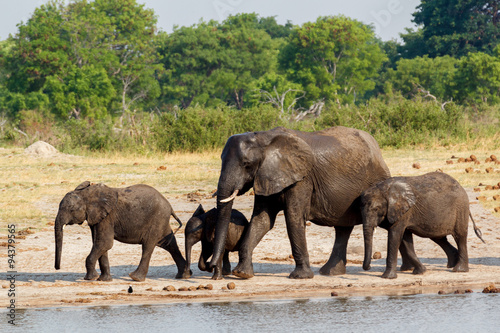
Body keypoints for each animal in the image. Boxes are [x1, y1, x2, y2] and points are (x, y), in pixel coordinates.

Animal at [53, 182, 188, 280]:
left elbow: (105, 243)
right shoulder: (97, 218)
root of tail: (170, 206)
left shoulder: (107, 217)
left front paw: (90, 279)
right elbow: (100, 245)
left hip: (157, 219)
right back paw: (184, 275)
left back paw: (135, 278)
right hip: (161, 221)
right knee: (170, 244)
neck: (86, 193)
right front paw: (104, 280)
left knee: (148, 246)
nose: (57, 268)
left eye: (71, 209)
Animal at [207, 125, 390, 278]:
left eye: (246, 164)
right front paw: (242, 274)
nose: (211, 268)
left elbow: (293, 218)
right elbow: (262, 220)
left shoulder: (302, 178)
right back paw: (329, 273)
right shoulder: (265, 175)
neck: (264, 138)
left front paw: (300, 276)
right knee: (343, 228)